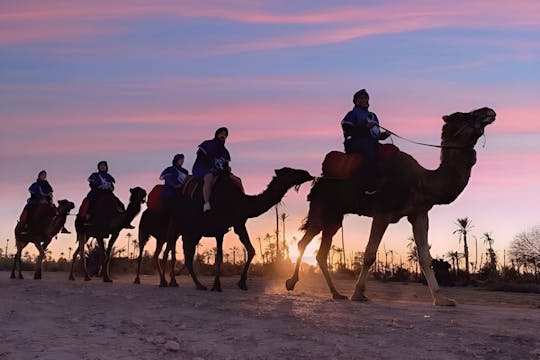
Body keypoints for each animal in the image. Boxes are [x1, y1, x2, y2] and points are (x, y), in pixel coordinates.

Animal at [161, 167, 312, 292]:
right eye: (290, 171)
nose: (307, 173)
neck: (241, 202)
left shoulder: (236, 225)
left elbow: (249, 250)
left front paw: (239, 284)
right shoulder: (224, 227)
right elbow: (220, 256)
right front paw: (219, 286)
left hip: (189, 230)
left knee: (180, 253)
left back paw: (177, 282)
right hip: (182, 226)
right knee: (175, 251)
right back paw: (181, 283)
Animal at [284, 107, 496, 306]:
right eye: (463, 115)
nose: (489, 111)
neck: (421, 181)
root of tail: (317, 180)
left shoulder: (419, 213)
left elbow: (425, 258)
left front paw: (442, 299)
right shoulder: (383, 213)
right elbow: (369, 254)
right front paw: (358, 294)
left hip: (335, 216)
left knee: (321, 252)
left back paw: (336, 294)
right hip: (322, 208)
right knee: (305, 242)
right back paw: (291, 282)